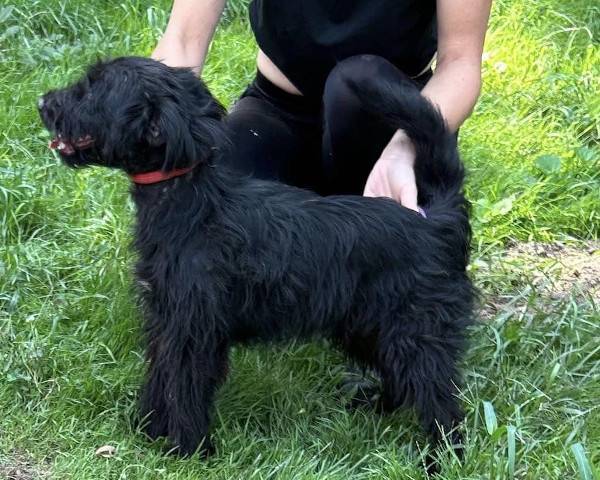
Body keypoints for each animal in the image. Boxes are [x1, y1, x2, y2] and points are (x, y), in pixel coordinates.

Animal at [39, 56, 474, 464]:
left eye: (93, 89)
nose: (44, 102)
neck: (192, 202)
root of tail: (436, 221)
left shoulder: (193, 332)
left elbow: (183, 387)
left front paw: (188, 450)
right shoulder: (166, 321)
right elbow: (160, 376)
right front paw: (149, 430)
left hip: (415, 337)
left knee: (441, 404)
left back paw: (442, 458)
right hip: (369, 329)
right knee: (402, 384)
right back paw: (376, 408)